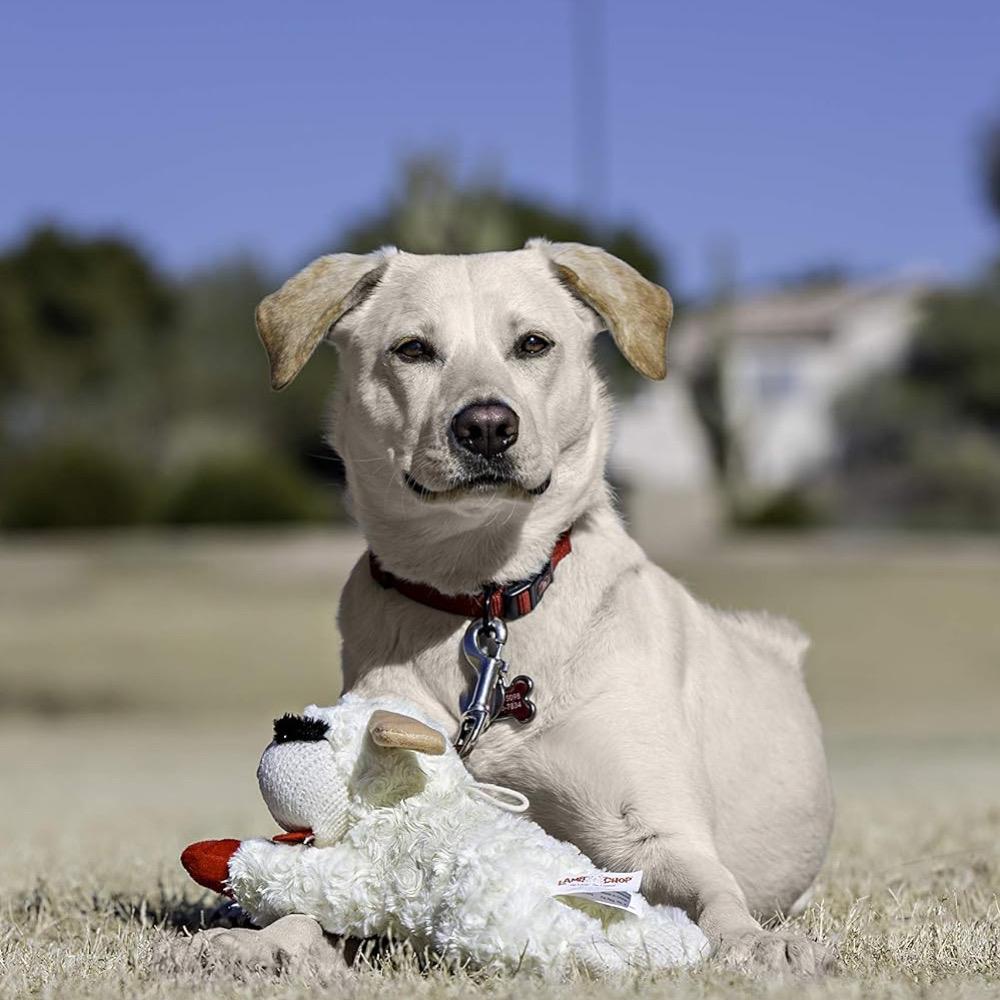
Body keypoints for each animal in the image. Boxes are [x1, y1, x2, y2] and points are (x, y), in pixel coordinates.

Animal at [250, 238, 836, 972]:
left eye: (533, 343)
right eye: (412, 349)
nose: (486, 425)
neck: (483, 596)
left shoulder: (651, 830)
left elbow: (712, 893)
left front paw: (754, 943)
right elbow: (316, 894)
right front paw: (264, 942)